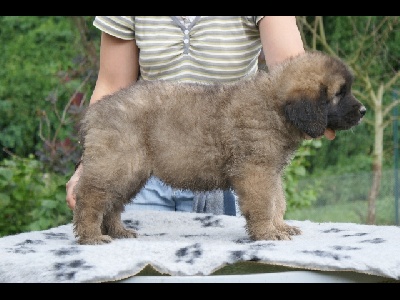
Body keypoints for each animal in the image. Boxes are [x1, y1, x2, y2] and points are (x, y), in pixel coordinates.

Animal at [72, 51, 366, 244]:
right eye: (339, 93)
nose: (363, 111)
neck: (274, 106)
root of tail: (94, 113)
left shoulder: (270, 171)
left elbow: (277, 200)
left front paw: (280, 226)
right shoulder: (257, 171)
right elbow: (265, 203)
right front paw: (268, 233)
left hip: (131, 172)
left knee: (113, 203)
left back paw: (117, 231)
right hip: (116, 165)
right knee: (90, 197)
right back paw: (91, 236)